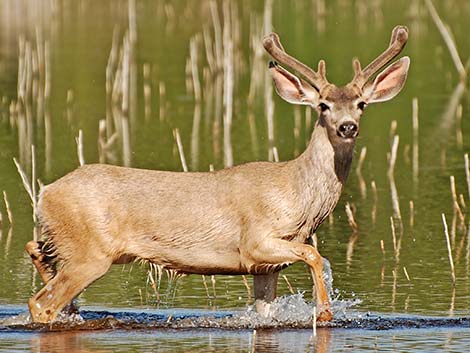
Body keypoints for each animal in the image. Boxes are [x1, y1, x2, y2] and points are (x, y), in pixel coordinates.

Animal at [25, 26, 410, 322]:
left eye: (361, 104)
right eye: (324, 106)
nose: (347, 127)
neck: (295, 193)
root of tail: (45, 193)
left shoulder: (266, 268)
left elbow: (266, 311)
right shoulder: (255, 242)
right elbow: (315, 255)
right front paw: (325, 312)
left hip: (66, 244)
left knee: (36, 252)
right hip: (90, 253)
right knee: (40, 303)